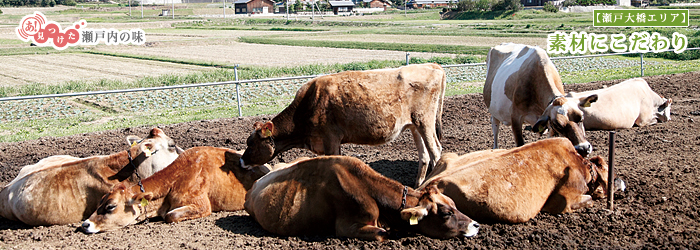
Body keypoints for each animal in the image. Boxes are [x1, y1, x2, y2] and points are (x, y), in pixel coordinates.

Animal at [242, 63, 448, 187]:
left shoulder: (330, 139)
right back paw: (418, 186)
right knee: (424, 156)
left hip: (425, 122)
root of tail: (431, 65)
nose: (241, 161)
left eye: (251, 144)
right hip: (415, 125)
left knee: (436, 151)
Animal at [418, 138, 628, 224]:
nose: (621, 181)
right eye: (609, 170)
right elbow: (589, 199)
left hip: (449, 156)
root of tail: (429, 184)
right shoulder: (562, 201)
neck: (580, 164)